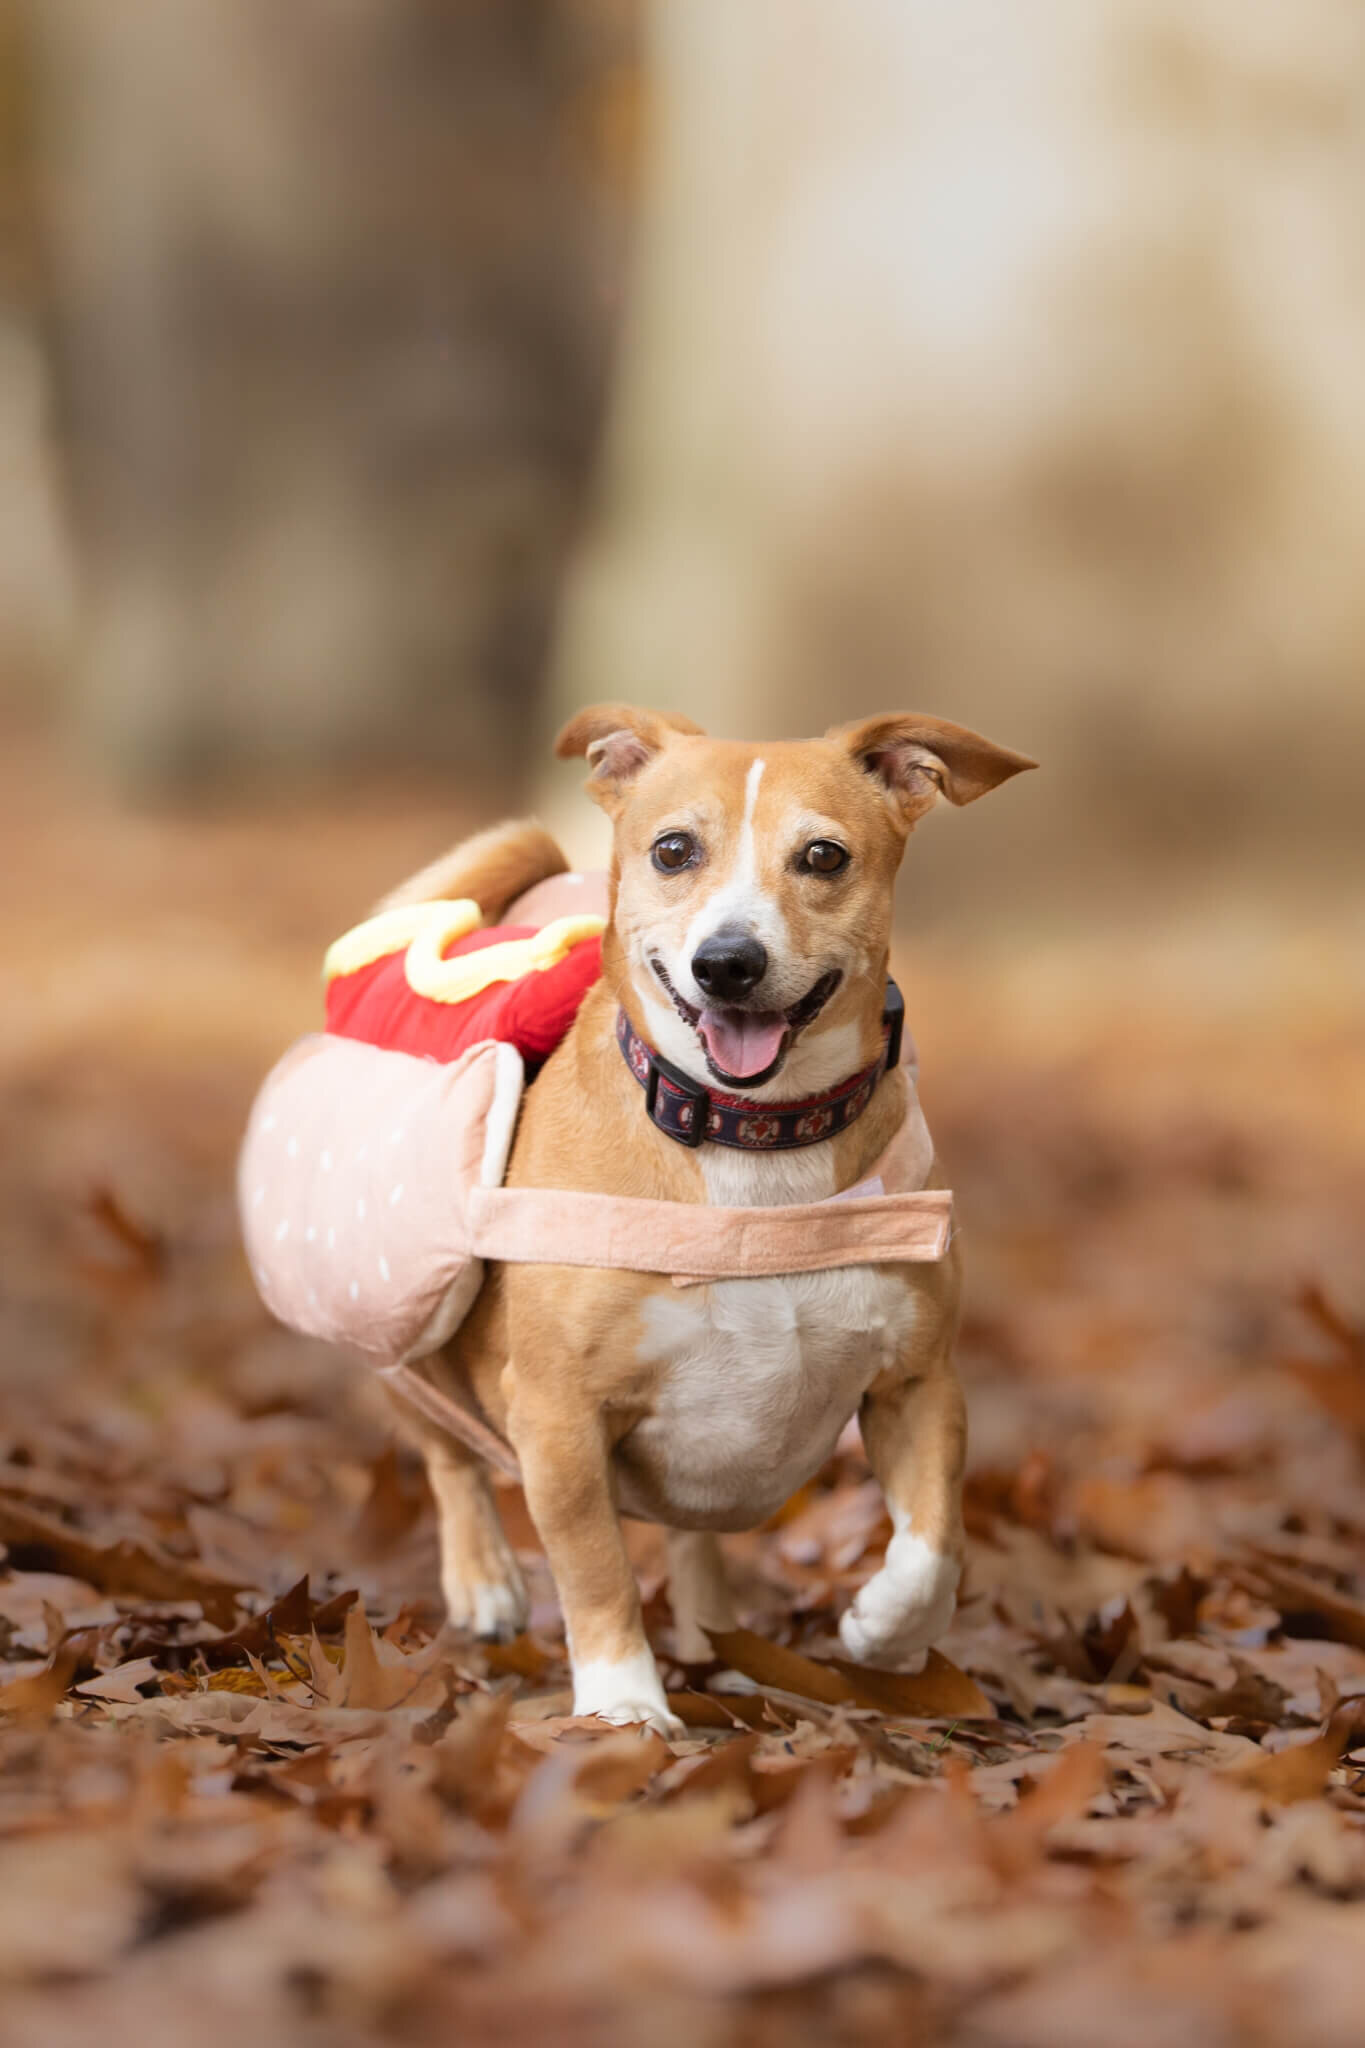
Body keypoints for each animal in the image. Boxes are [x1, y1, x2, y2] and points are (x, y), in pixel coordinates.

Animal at [386, 704, 1035, 1728]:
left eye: (822, 856)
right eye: (673, 849)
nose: (728, 963)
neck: (751, 1140)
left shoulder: (917, 1381)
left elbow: (936, 1541)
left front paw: (885, 1632)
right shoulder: (559, 1415)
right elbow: (597, 1570)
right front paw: (622, 1705)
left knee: (690, 1534)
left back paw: (713, 1638)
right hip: (411, 1341)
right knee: (446, 1450)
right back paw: (484, 1581)